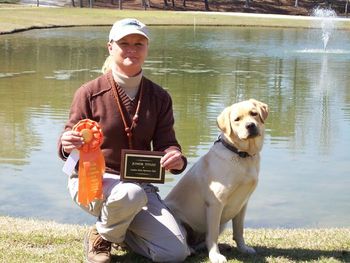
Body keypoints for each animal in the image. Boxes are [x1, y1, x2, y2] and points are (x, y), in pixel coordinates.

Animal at [165, 99, 270, 263]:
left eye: (254, 113)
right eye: (237, 119)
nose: (250, 125)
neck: (242, 155)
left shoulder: (242, 203)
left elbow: (239, 230)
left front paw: (243, 248)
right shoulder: (215, 203)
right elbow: (212, 235)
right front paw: (215, 256)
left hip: (223, 223)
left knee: (200, 243)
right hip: (181, 222)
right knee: (191, 242)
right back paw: (192, 250)